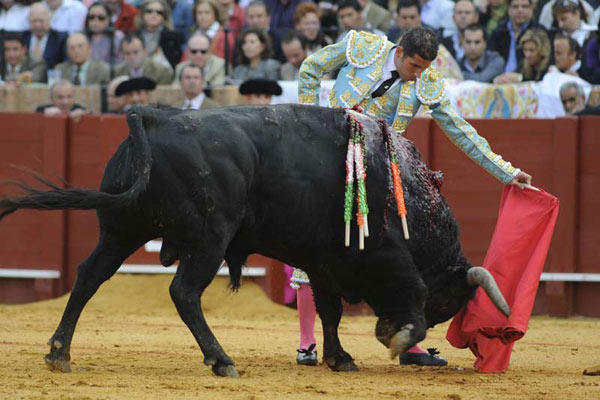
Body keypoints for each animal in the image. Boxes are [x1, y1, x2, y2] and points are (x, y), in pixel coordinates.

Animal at [0, 104, 508, 376]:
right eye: (447, 307)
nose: (388, 325)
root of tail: (153, 115)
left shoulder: (322, 258)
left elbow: (329, 310)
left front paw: (340, 357)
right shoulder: (380, 251)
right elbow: (407, 290)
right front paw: (398, 337)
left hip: (122, 229)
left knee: (89, 276)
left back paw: (59, 353)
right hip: (208, 239)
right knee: (184, 292)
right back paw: (221, 359)